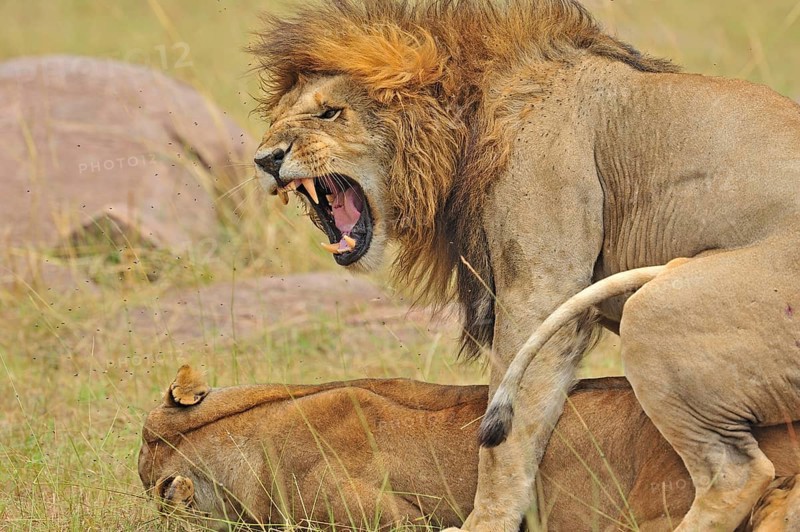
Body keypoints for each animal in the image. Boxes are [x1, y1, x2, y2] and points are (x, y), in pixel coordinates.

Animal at [250, 1, 800, 530]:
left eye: (330, 113)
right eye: (278, 119)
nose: (265, 159)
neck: (465, 120)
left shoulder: (542, 289)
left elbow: (507, 434)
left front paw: (485, 521)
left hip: (657, 310)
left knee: (735, 472)